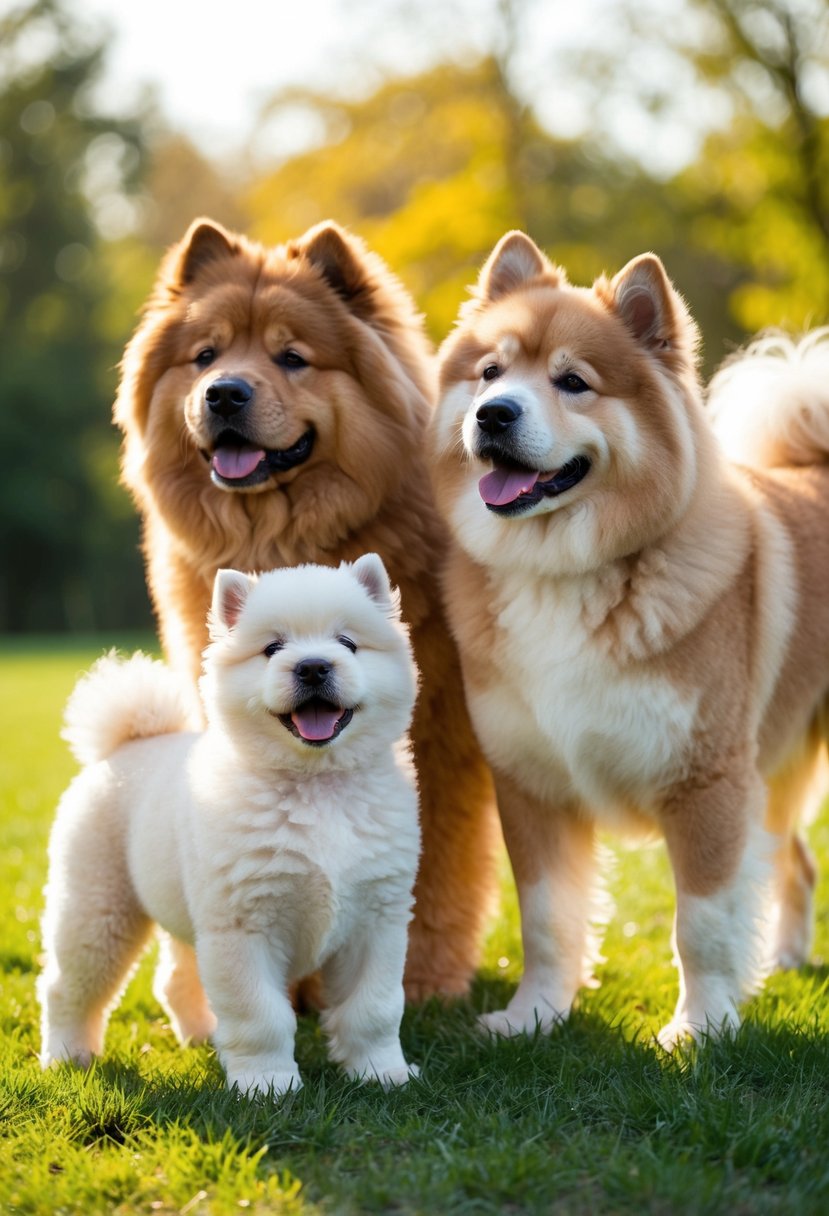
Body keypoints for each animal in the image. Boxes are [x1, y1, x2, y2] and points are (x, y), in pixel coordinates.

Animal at [37, 556, 420, 1099]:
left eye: (347, 643)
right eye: (272, 648)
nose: (313, 666)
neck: (316, 786)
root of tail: (128, 744)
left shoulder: (376, 921)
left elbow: (374, 1010)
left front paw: (382, 1074)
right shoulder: (243, 927)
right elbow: (262, 1016)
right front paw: (268, 1085)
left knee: (173, 980)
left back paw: (201, 1036)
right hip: (97, 912)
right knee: (67, 988)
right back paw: (68, 1057)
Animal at [430, 232, 826, 1050]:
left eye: (572, 382)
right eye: (489, 373)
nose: (492, 415)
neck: (565, 573)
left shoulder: (705, 781)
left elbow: (700, 924)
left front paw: (700, 1029)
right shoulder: (531, 783)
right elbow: (546, 920)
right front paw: (534, 1015)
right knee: (793, 862)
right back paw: (783, 961)